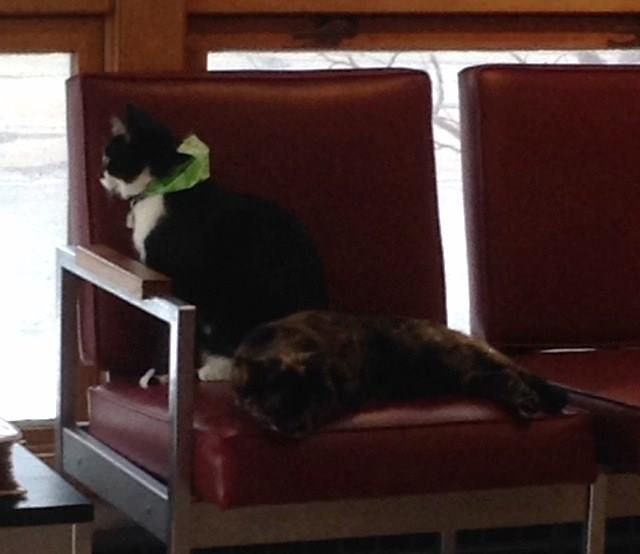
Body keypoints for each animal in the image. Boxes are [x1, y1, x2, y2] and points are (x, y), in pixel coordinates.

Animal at [104, 102, 330, 380]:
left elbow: (165, 333)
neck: (165, 185)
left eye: (109, 158)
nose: (102, 177)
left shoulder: (175, 277)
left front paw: (161, 373)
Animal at [232, 310, 568, 436]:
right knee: (506, 378)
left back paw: (539, 401)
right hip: (469, 377)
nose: (299, 426)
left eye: (312, 399)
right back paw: (537, 401)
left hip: (461, 361)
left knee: (513, 374)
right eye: (282, 403)